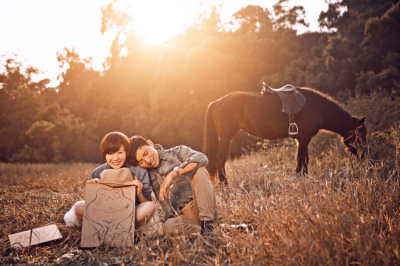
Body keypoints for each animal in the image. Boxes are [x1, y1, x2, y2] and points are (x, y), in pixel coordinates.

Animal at [202, 88, 368, 184]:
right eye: (360, 135)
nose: (365, 157)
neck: (317, 108)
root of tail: (217, 102)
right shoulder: (304, 138)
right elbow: (302, 159)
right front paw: (301, 178)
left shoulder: (302, 140)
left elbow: (303, 159)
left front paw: (301, 177)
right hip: (226, 138)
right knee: (220, 160)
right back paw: (225, 185)